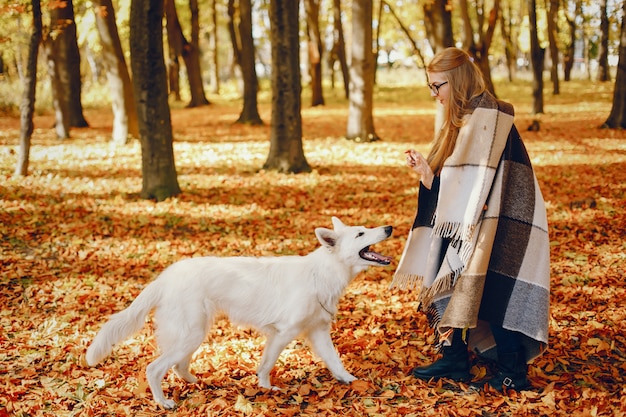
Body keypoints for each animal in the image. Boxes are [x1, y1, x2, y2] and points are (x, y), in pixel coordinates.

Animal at [85, 216, 392, 408]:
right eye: (360, 234)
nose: (389, 227)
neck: (322, 273)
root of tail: (166, 276)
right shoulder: (283, 333)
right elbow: (267, 365)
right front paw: (266, 388)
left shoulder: (318, 331)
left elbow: (335, 361)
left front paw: (351, 381)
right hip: (192, 333)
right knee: (155, 368)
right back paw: (163, 402)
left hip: (195, 333)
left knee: (178, 365)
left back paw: (198, 383)